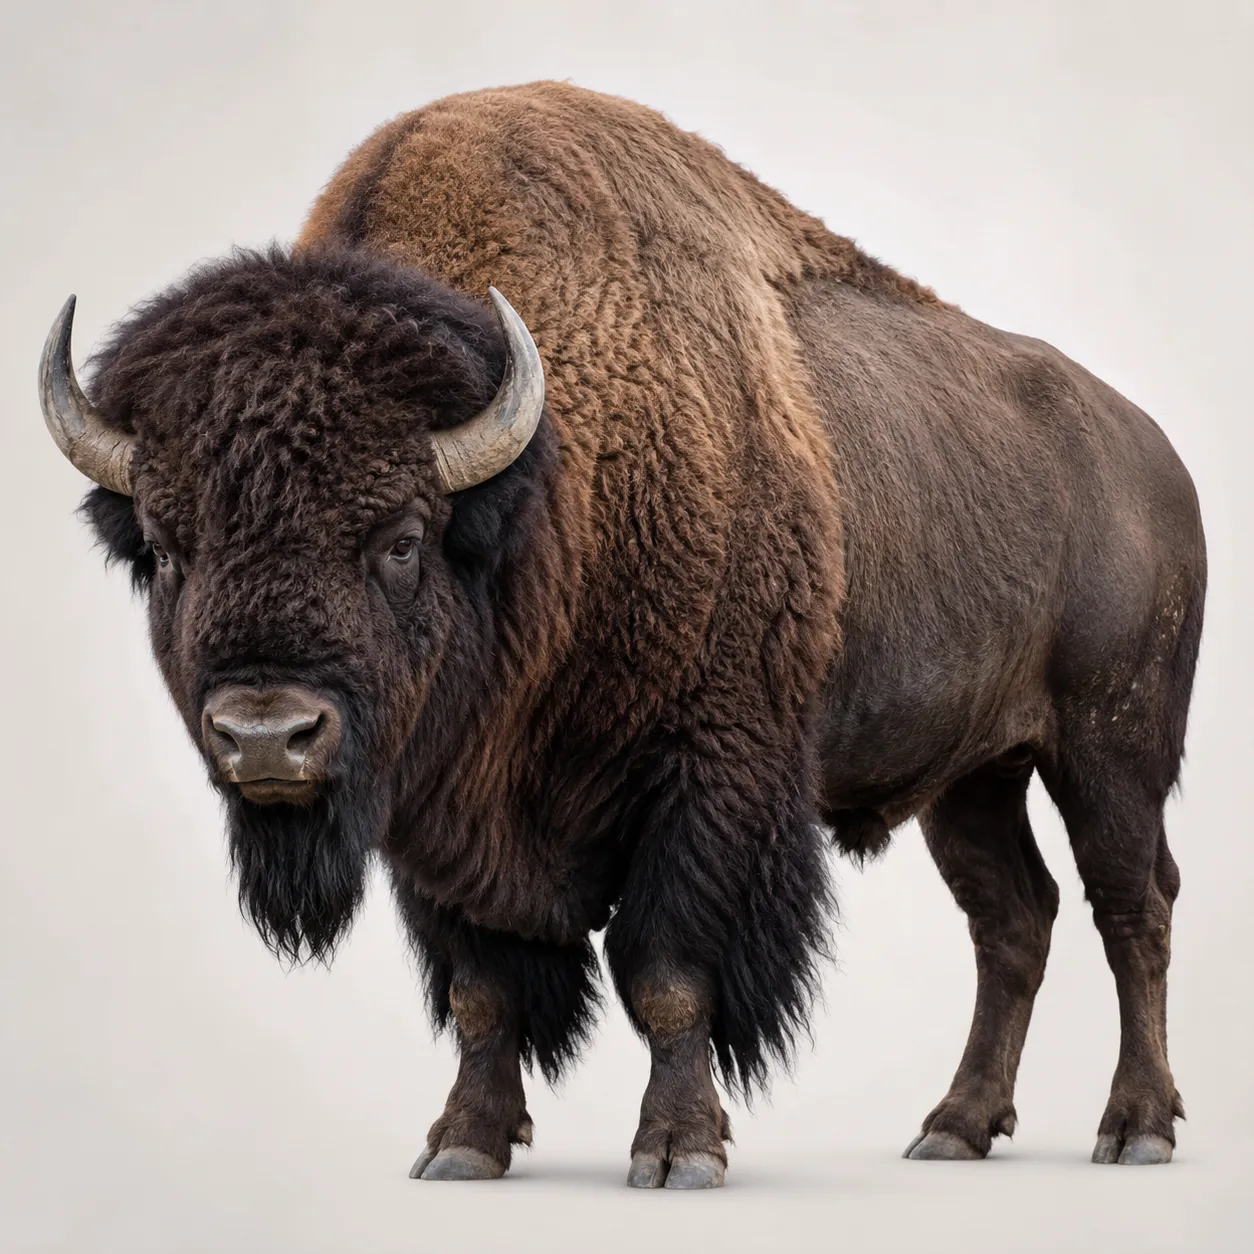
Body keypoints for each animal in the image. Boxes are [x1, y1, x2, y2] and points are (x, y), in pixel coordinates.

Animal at [39, 82, 1205, 1186]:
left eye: (403, 539)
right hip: (971, 778)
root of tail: (1155, 455)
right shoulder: (440, 811)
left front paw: (679, 1152)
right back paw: (954, 1128)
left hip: (1109, 749)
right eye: (165, 546)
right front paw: (464, 1146)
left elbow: (668, 976)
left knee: (1131, 905)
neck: (545, 488)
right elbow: (483, 992)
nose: (267, 735)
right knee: (1013, 919)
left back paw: (1135, 1129)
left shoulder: (706, 779)